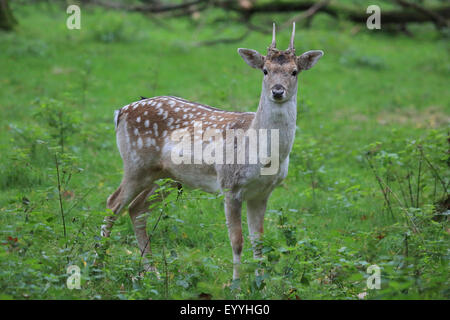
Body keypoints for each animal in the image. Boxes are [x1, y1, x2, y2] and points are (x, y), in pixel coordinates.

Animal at [102, 23, 324, 282]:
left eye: (294, 71)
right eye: (265, 70)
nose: (277, 91)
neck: (263, 154)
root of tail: (121, 111)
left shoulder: (262, 192)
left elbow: (259, 242)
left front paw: (261, 283)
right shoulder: (230, 184)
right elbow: (237, 241)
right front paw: (236, 284)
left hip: (165, 176)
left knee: (137, 208)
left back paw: (152, 271)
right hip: (135, 162)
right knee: (113, 203)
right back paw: (99, 265)